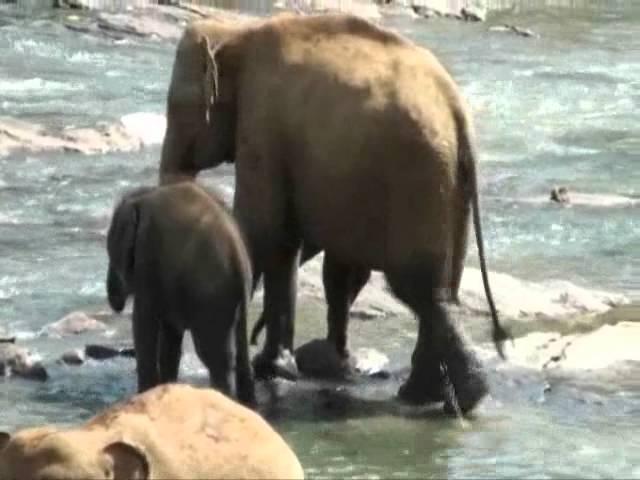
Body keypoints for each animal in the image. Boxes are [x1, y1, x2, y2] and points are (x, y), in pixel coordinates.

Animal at [105, 182, 255, 406]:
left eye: (112, 254)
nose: (114, 299)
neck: (142, 196)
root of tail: (237, 254)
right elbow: (170, 335)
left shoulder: (148, 261)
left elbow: (143, 322)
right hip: (234, 300)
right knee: (241, 357)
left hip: (211, 298)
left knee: (216, 358)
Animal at [160, 14, 510, 412]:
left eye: (177, 107)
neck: (240, 32)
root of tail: (456, 112)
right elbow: (287, 246)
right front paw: (278, 367)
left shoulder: (262, 124)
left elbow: (264, 230)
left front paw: (272, 368)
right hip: (448, 189)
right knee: (438, 288)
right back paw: (429, 395)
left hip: (418, 179)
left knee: (417, 288)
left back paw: (442, 397)